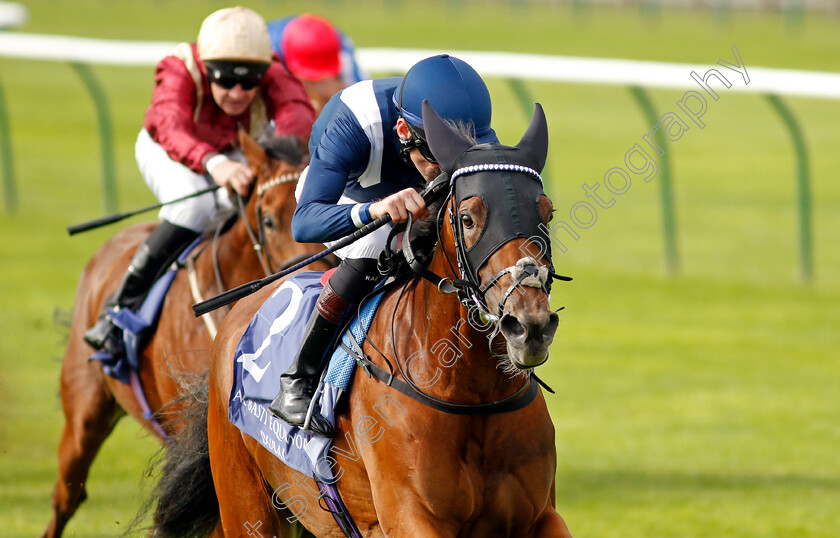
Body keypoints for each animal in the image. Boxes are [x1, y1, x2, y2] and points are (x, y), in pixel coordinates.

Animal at [153, 102, 572, 532]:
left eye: (547, 213)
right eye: (469, 218)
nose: (531, 325)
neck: (473, 393)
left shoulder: (542, 516)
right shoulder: (411, 517)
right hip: (245, 505)